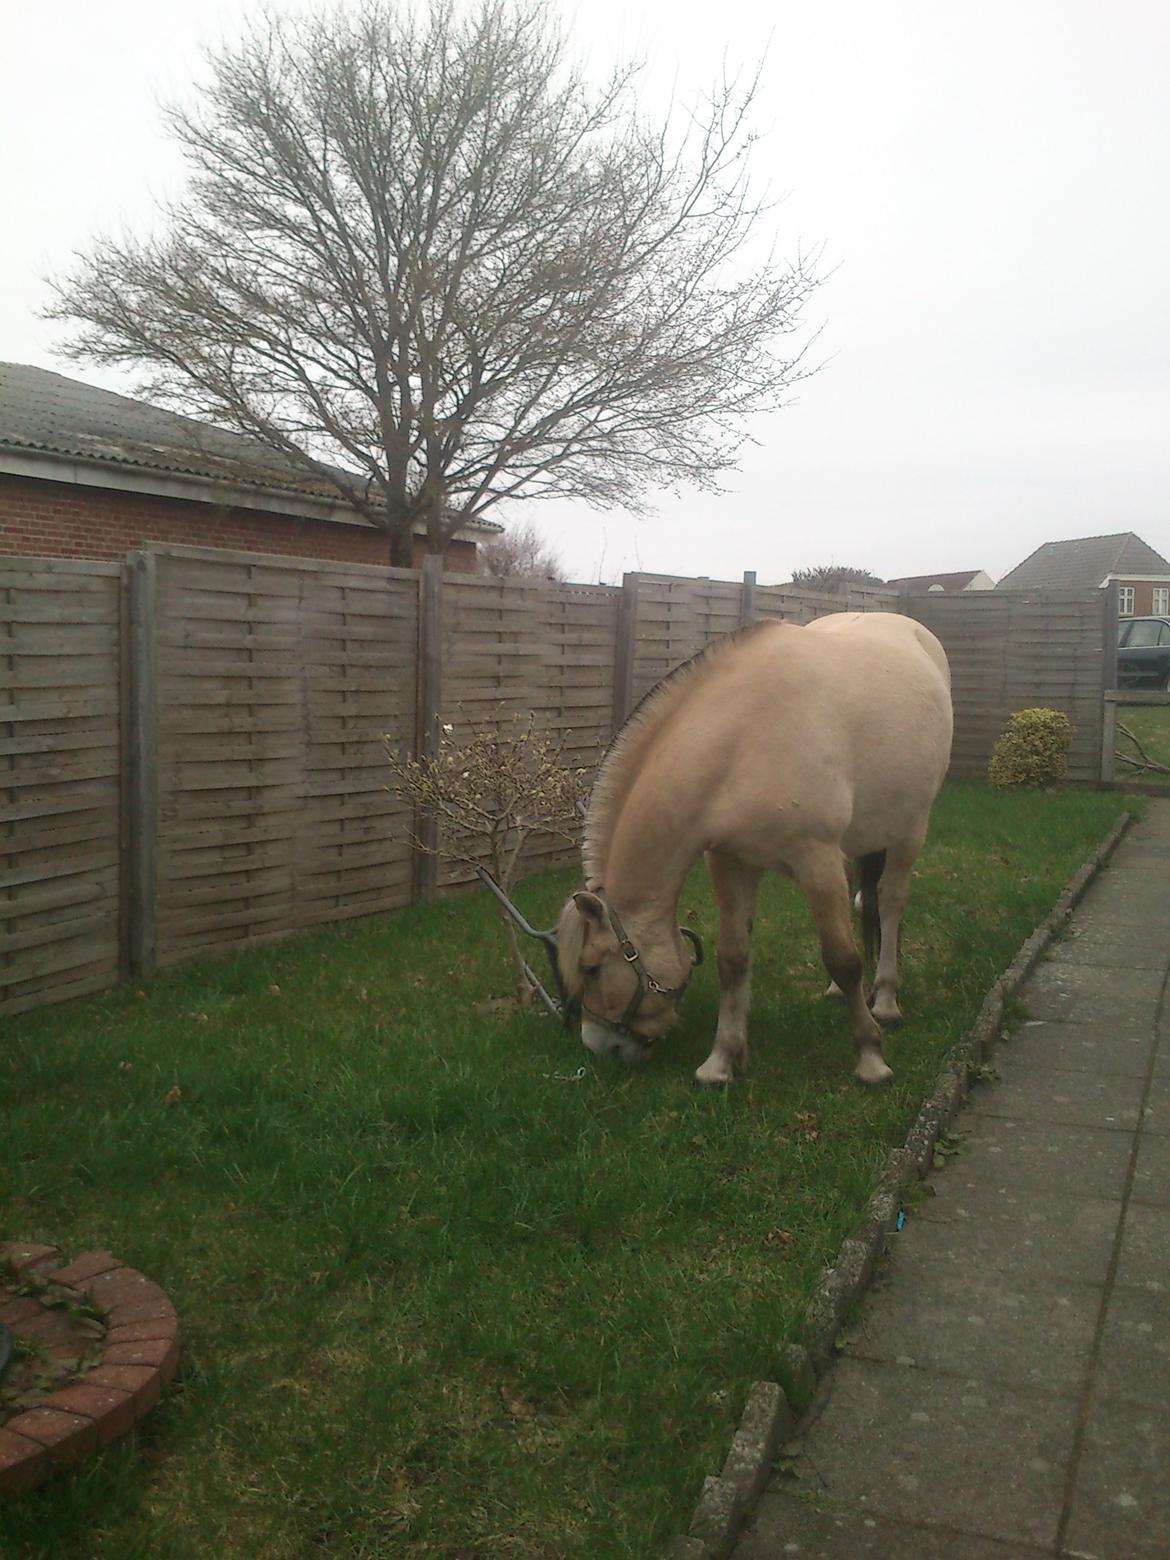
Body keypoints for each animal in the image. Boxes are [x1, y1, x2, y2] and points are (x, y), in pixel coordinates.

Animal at [555, 611, 954, 1085]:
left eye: (593, 967)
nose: (599, 1046)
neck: (740, 741)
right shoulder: (731, 861)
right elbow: (733, 959)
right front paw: (722, 1060)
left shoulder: (815, 859)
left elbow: (843, 957)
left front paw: (870, 1057)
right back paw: (838, 993)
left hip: (910, 828)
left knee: (891, 903)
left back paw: (888, 1001)